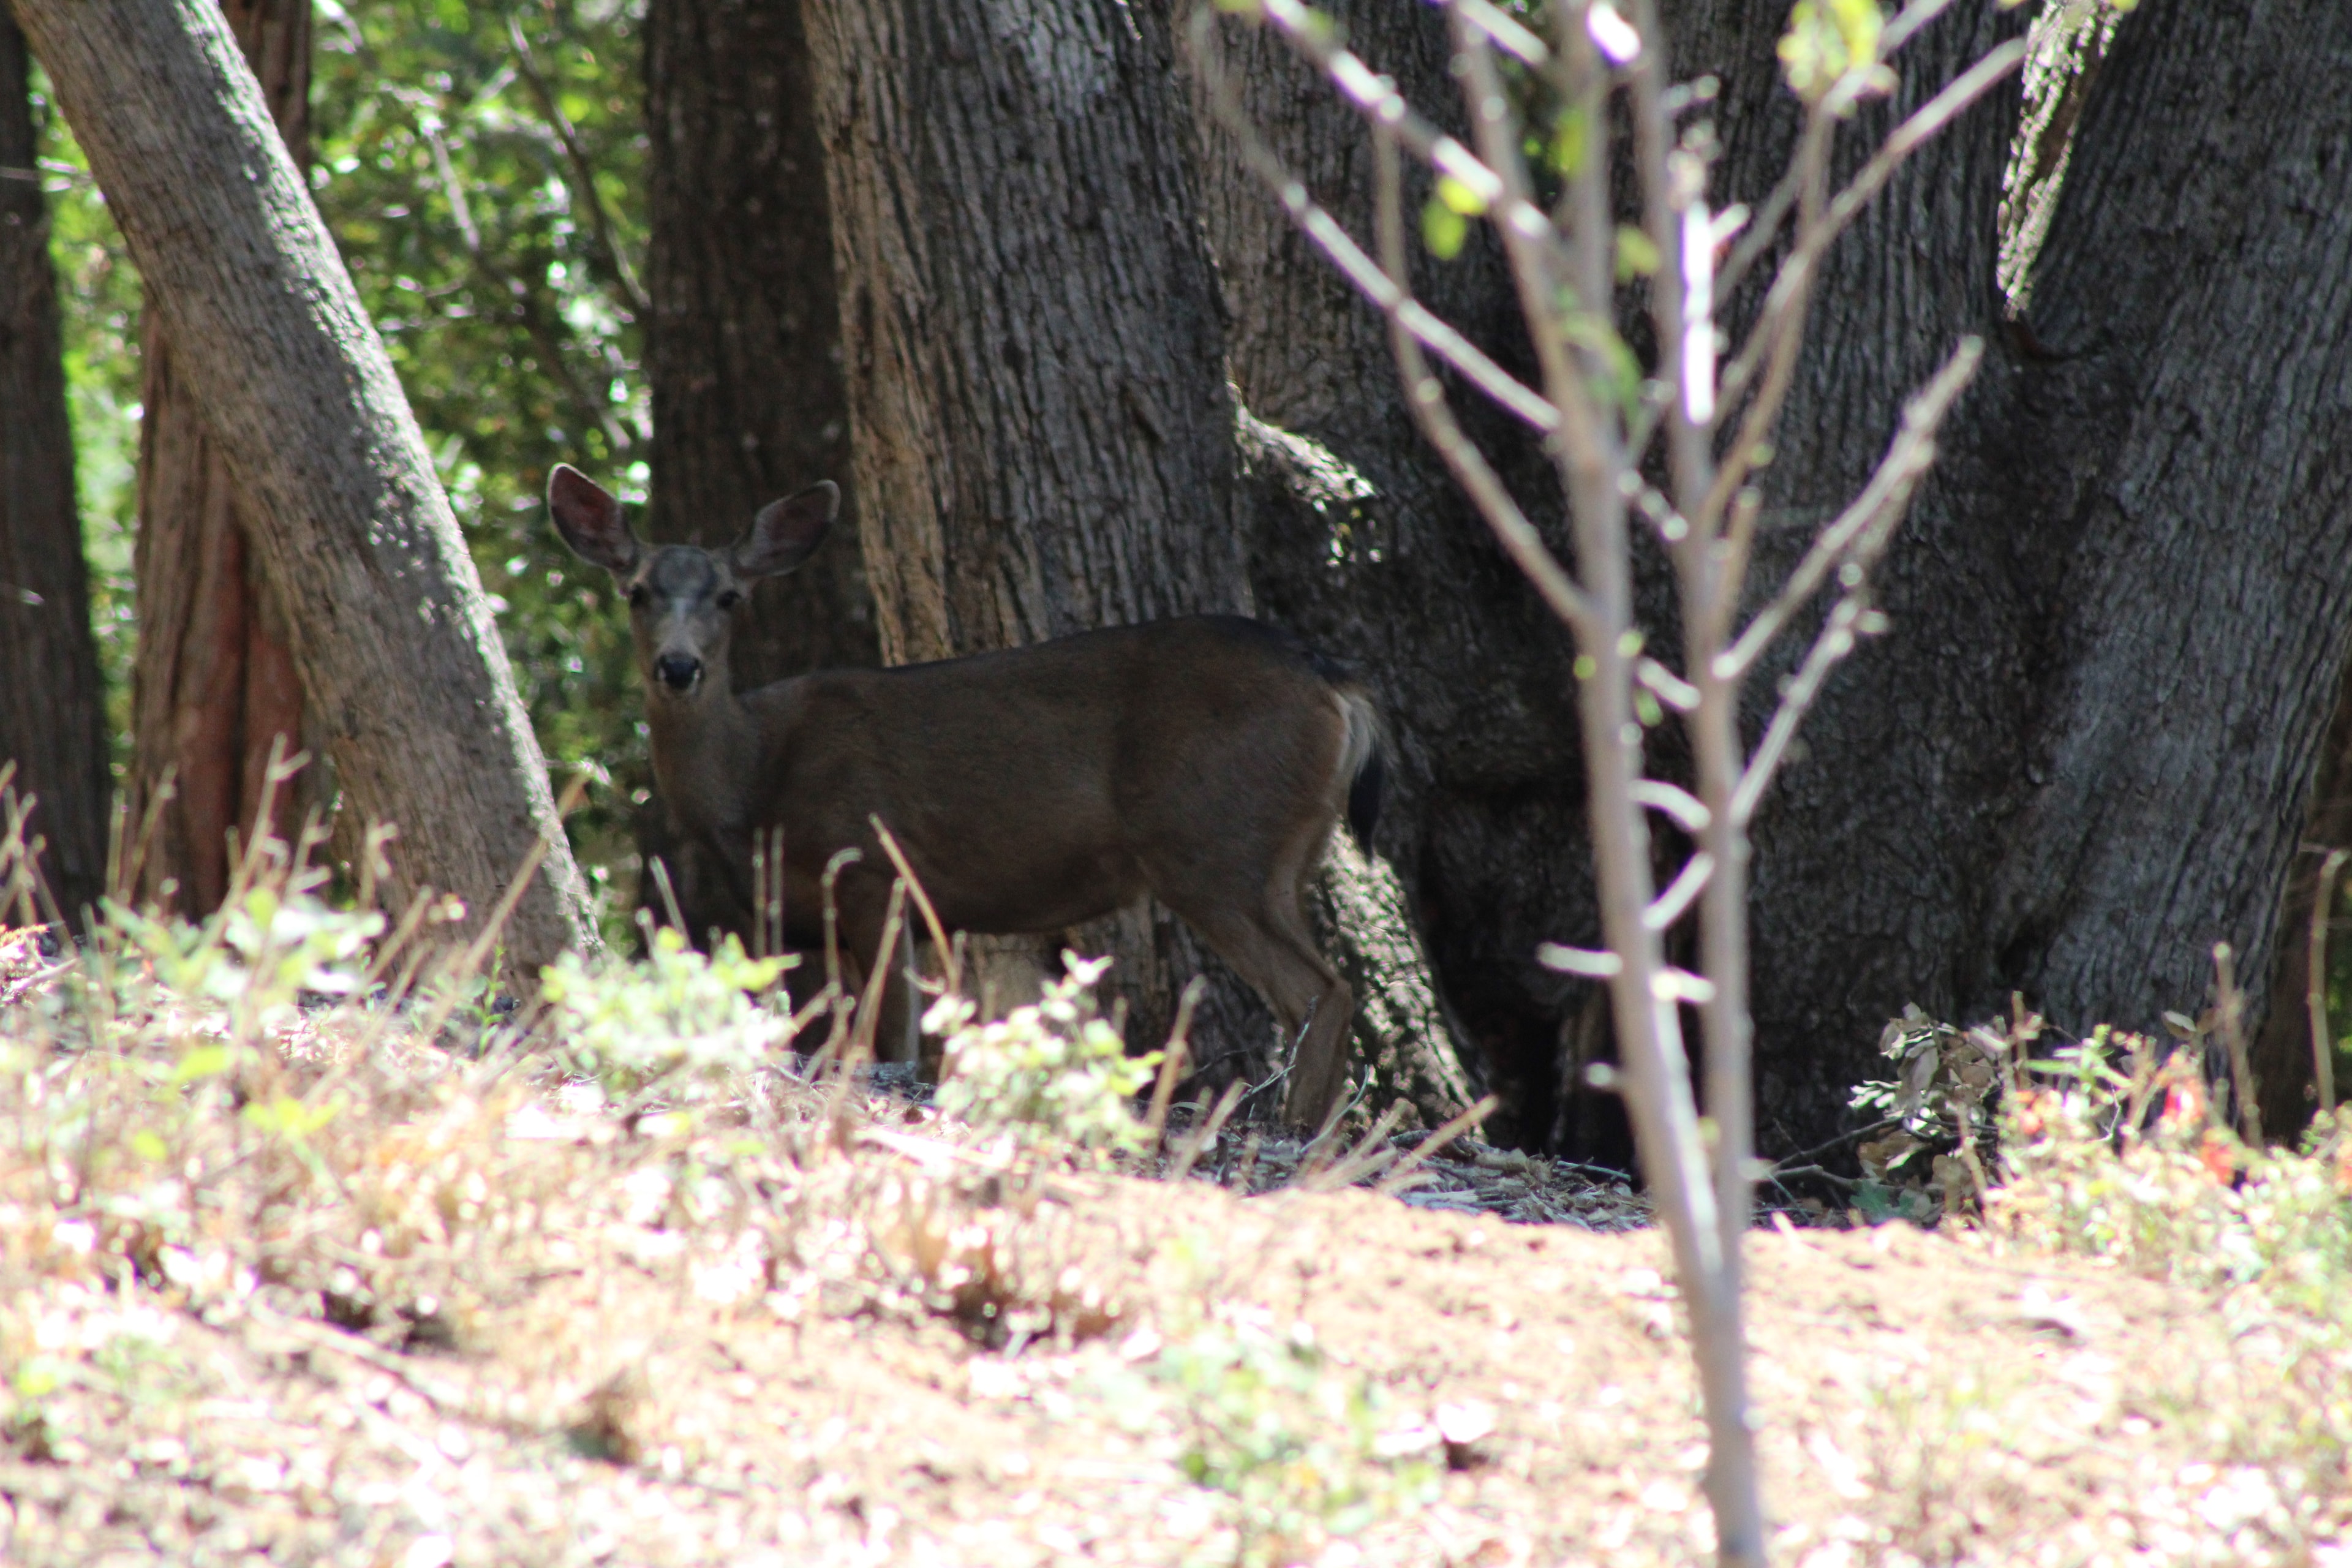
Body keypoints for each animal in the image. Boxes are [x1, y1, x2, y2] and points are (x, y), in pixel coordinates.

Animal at [545, 464, 1384, 1128]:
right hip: (1283, 855)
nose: (678, 667)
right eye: (637, 591)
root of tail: (1334, 680)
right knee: (1324, 990)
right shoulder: (830, 918)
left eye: (727, 596)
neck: (754, 787)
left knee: (1323, 991)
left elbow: (892, 1042)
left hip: (1211, 843)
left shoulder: (872, 868)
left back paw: (1295, 1137)